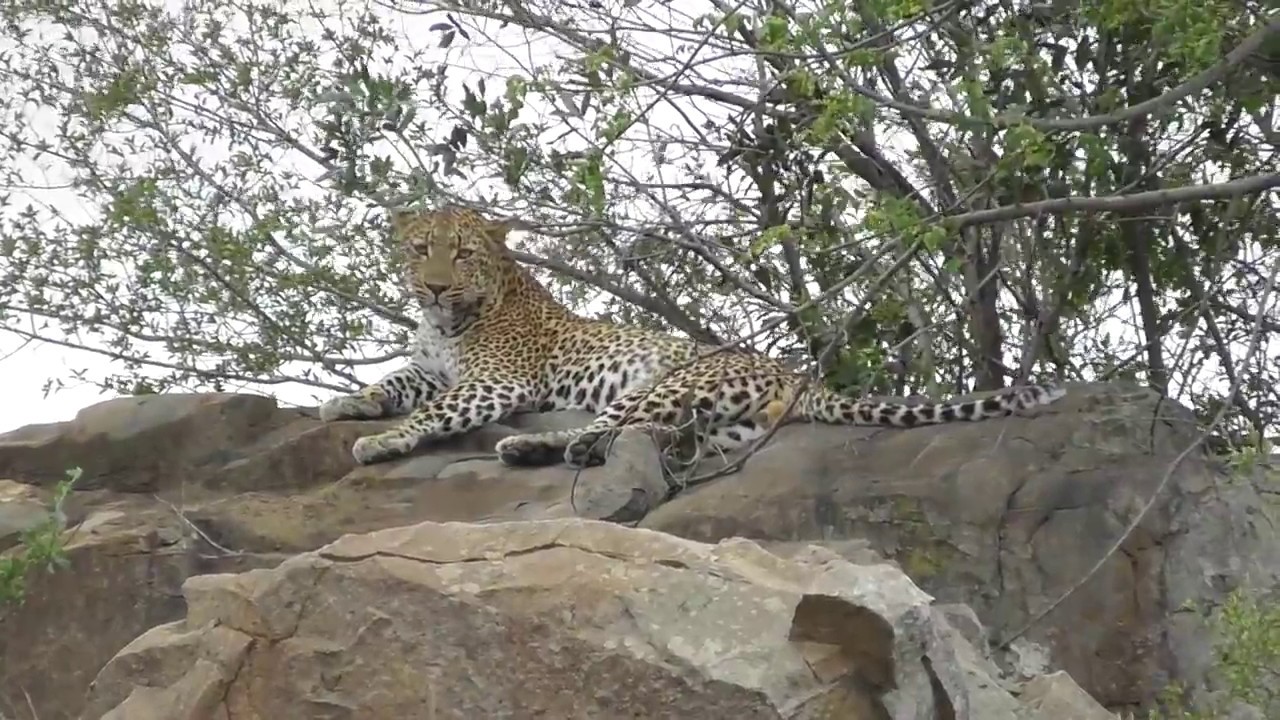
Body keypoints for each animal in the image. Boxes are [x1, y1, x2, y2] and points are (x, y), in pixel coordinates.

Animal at [319, 205, 1067, 469]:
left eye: (464, 255)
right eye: (421, 250)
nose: (433, 286)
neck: (449, 321)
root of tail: (798, 376)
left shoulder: (495, 381)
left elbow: (436, 411)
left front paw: (383, 440)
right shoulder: (431, 365)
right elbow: (396, 379)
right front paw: (346, 403)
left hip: (665, 381)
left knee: (607, 432)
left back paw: (529, 445)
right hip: (724, 423)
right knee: (661, 440)